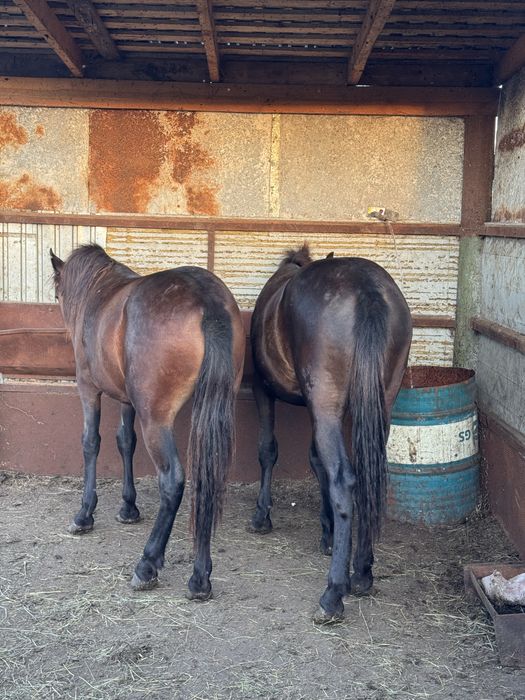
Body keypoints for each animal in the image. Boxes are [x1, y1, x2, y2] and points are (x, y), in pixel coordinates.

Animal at [50, 244, 244, 600]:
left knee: (173, 481)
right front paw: (129, 508)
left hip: (156, 419)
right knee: (206, 480)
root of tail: (206, 300)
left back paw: (147, 564)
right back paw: (200, 578)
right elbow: (125, 441)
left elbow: (91, 443)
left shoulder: (88, 388)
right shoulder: (128, 401)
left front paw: (84, 514)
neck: (97, 293)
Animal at [249, 244, 412, 623]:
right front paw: (327, 533)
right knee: (367, 475)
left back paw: (334, 593)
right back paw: (362, 571)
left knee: (344, 478)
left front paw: (262, 515)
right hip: (378, 405)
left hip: (325, 403)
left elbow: (268, 449)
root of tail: (366, 290)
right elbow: (315, 462)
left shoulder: (266, 391)